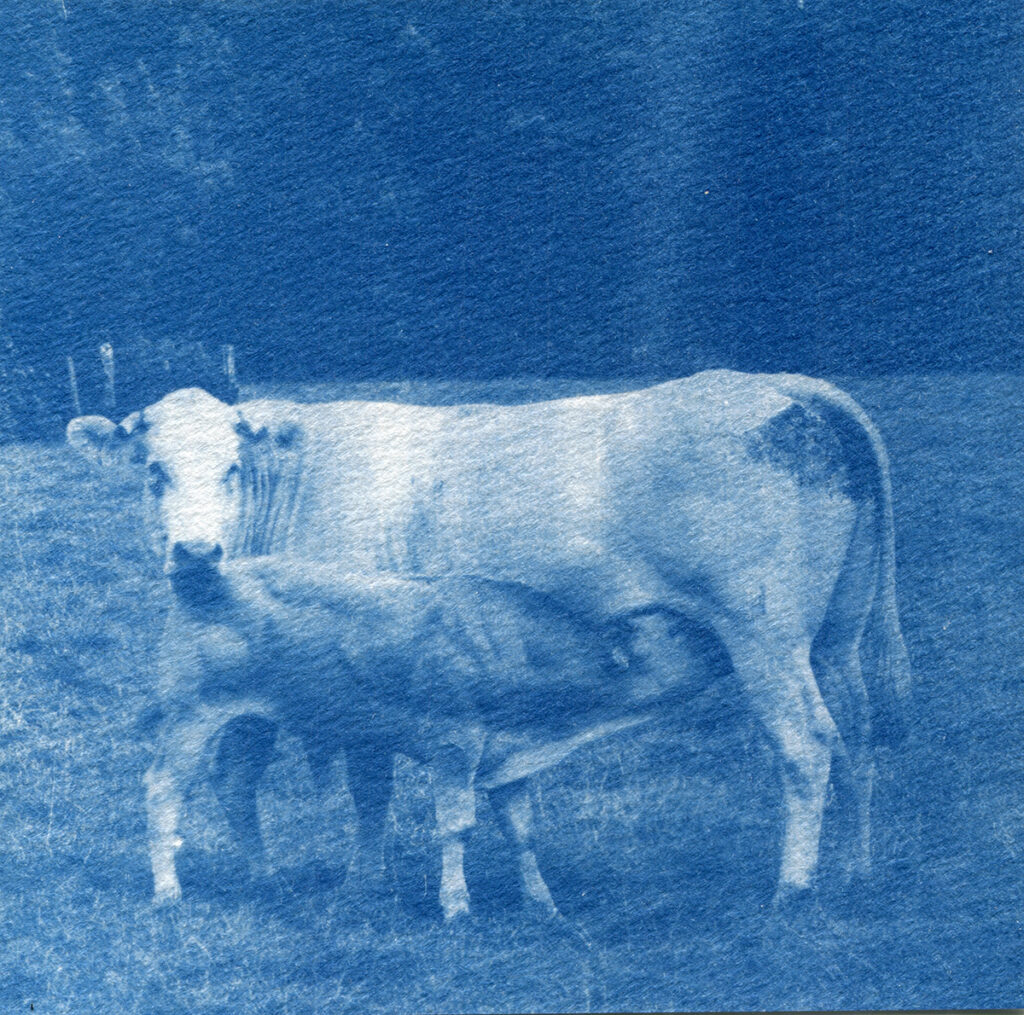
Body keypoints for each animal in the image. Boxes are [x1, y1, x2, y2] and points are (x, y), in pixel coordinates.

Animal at [66, 370, 913, 905]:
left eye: (233, 467)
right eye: (153, 469)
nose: (195, 552)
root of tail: (775, 384)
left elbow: (367, 782)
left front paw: (364, 880)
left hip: (762, 631)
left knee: (806, 742)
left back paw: (793, 885)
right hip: (837, 632)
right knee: (859, 733)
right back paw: (856, 869)